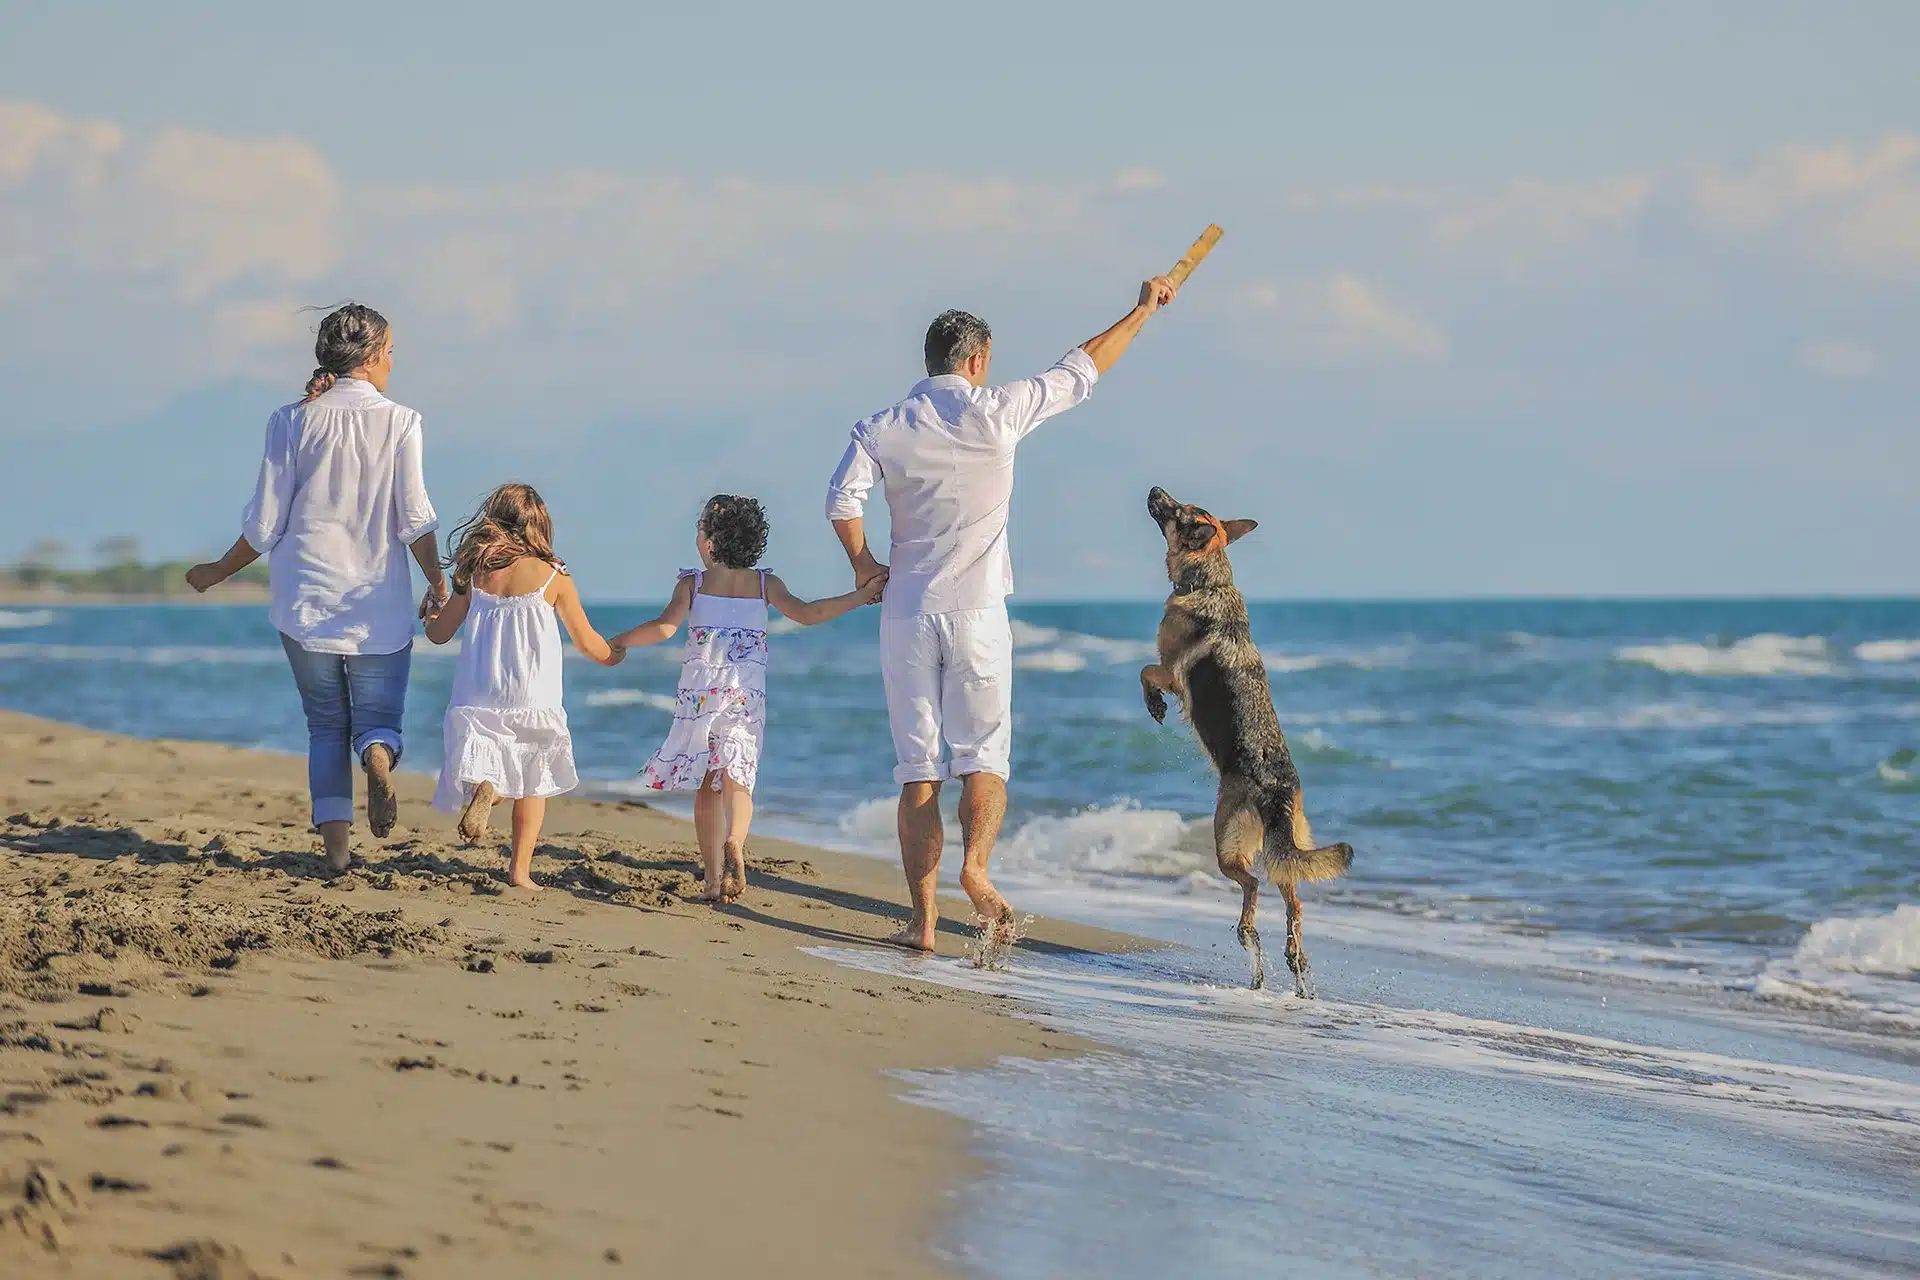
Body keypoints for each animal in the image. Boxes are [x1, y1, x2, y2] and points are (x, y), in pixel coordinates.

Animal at [1144, 485, 1359, 997]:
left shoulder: (1169, 671)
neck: (1210, 582)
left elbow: (1144, 671)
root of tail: (1277, 792)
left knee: (1254, 884)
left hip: (1226, 842)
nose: (1155, 489)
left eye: (1179, 511)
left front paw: (1153, 704)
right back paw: (1294, 959)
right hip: (1284, 846)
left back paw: (1249, 936)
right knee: (1292, 896)